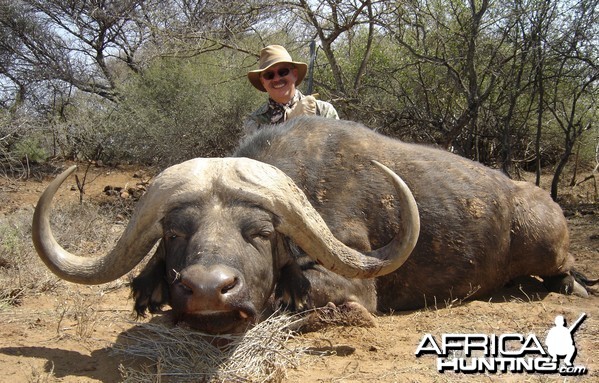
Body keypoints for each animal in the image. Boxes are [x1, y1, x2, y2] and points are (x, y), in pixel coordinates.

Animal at [31, 116, 592, 332]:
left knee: (564, 271)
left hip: (550, 248)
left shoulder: (355, 285)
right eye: (173, 234)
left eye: (260, 233)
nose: (209, 290)